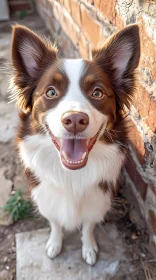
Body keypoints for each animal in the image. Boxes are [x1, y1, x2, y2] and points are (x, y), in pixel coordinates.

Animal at [10, 23, 141, 264]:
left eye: (97, 92)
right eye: (51, 92)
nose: (75, 121)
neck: (71, 174)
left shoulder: (98, 200)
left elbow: (88, 226)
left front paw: (89, 248)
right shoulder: (46, 198)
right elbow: (55, 222)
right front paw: (54, 243)